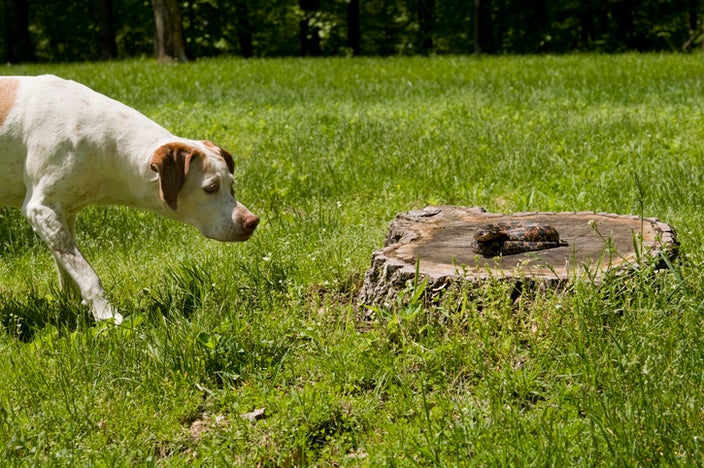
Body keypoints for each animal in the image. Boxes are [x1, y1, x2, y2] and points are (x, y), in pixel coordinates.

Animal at [0, 75, 260, 326]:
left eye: (231, 185)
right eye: (211, 188)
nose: (252, 221)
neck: (105, 144)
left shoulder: (65, 212)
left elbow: (65, 265)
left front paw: (72, 305)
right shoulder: (41, 209)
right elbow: (86, 272)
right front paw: (105, 314)